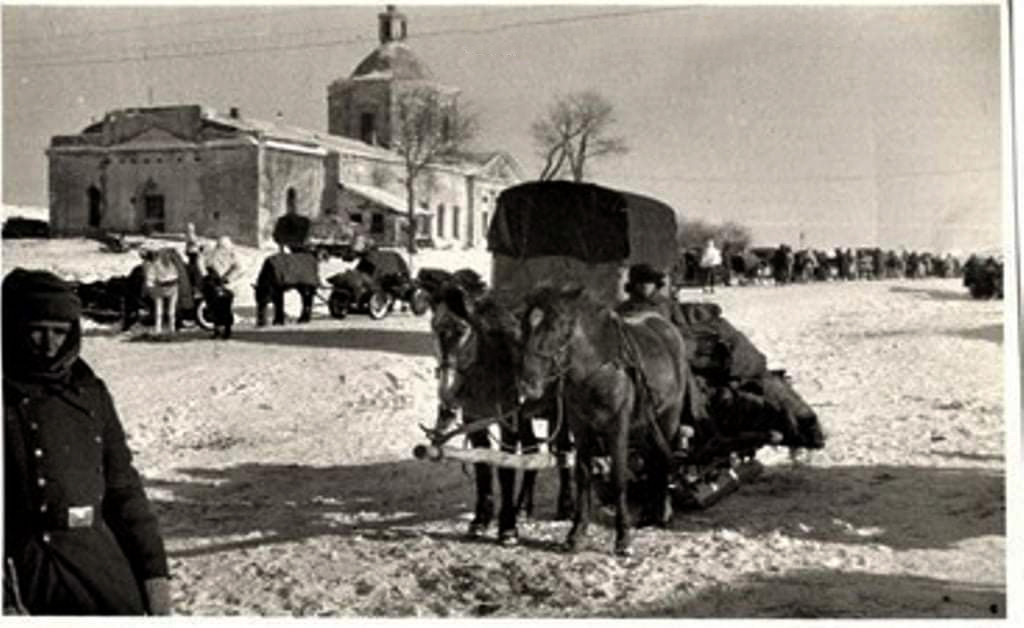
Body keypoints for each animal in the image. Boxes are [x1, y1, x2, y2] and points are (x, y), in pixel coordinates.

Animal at [425, 278, 577, 545]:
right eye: (434, 328)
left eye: (461, 329)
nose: (447, 390)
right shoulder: (474, 419)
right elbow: (483, 465)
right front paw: (481, 520)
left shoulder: (508, 420)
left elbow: (505, 467)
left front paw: (507, 527)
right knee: (532, 451)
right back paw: (523, 507)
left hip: (560, 412)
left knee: (563, 451)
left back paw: (565, 506)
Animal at [520, 284, 688, 553]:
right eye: (524, 326)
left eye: (555, 328)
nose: (528, 386)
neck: (596, 370)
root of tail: (666, 326)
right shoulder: (580, 428)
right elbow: (583, 475)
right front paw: (577, 533)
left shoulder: (617, 427)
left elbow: (619, 477)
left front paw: (623, 537)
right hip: (643, 424)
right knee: (651, 459)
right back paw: (648, 512)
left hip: (668, 416)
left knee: (663, 459)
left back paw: (663, 512)